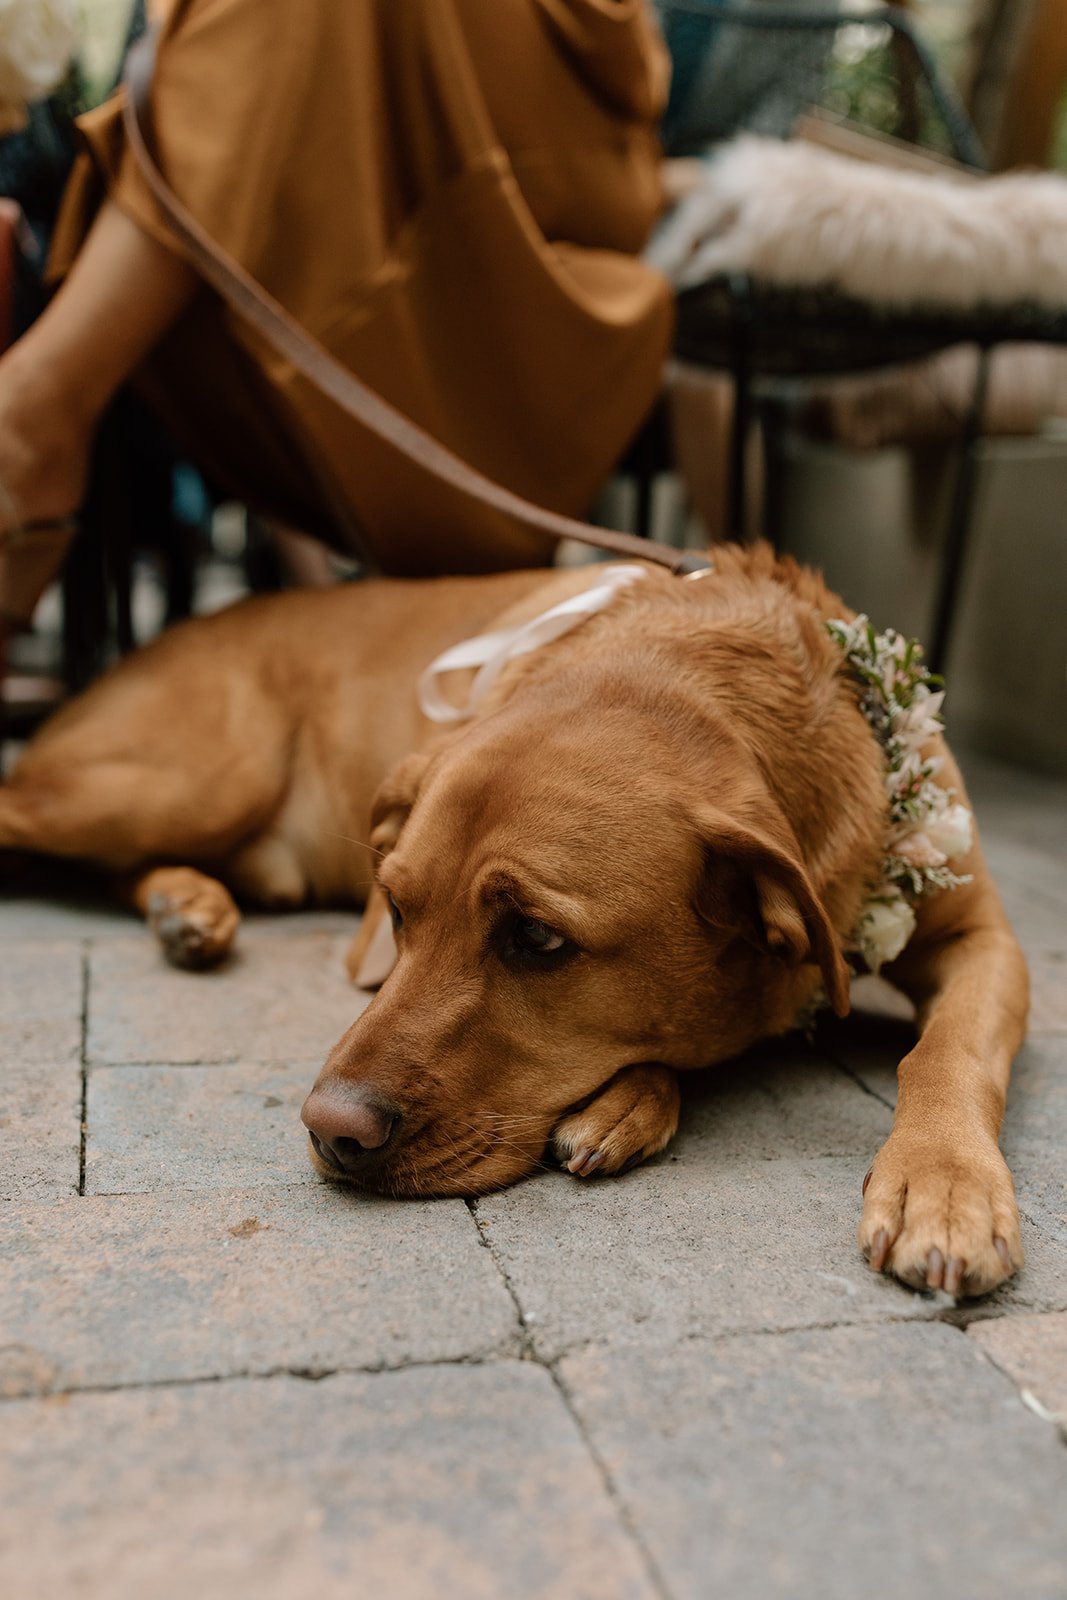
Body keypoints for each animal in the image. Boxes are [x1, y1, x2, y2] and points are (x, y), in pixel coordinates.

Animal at [4, 544, 1030, 1292]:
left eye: (536, 939)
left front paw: (943, 1180)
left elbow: (947, 1049)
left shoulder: (984, 942)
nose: (328, 1130)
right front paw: (634, 1096)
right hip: (191, 779)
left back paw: (188, 904)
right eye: (397, 909)